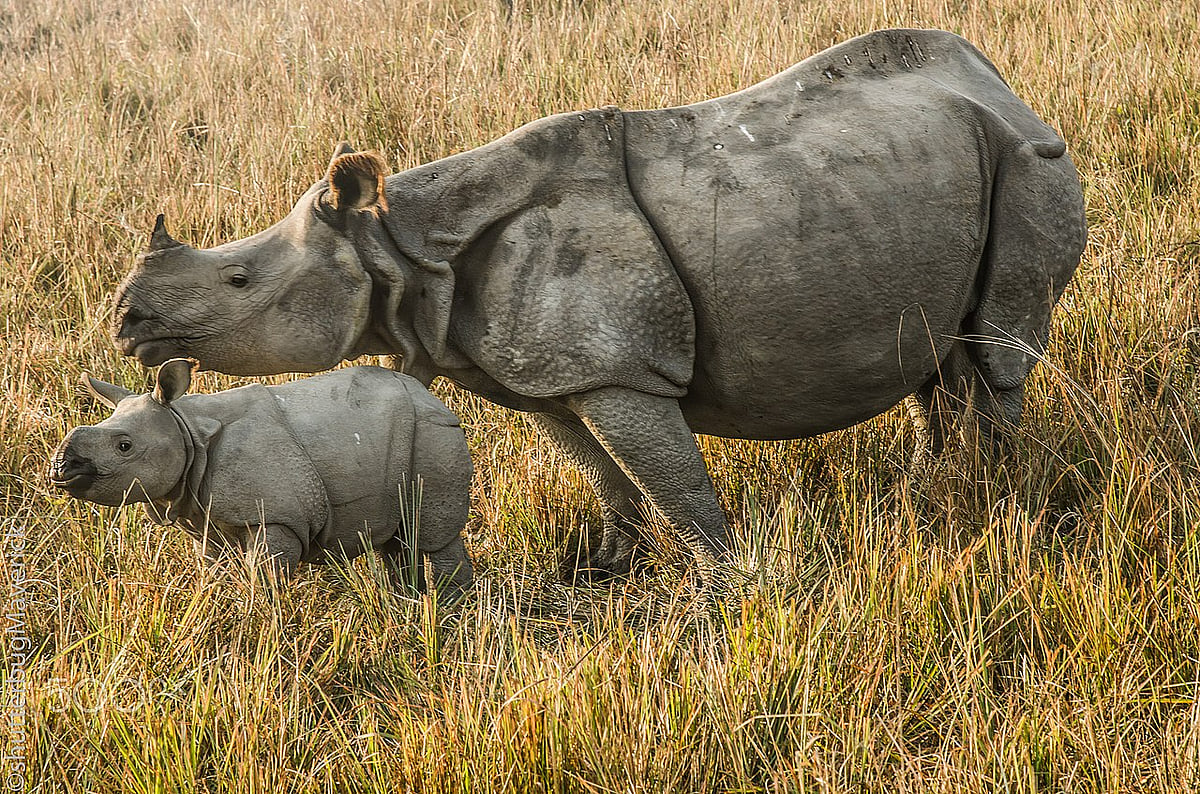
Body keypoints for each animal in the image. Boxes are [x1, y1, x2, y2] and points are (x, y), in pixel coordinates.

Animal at [50, 359, 473, 591]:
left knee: (434, 536)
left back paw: (450, 609)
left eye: (124, 446)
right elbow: (216, 568)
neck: (186, 428)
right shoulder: (206, 516)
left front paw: (266, 622)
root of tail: (429, 396)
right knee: (397, 540)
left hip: (433, 434)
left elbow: (266, 578)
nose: (62, 467)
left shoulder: (275, 516)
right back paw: (407, 603)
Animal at [109, 29, 1087, 581]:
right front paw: (610, 567)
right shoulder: (549, 373)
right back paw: (940, 490)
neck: (399, 246)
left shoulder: (620, 368)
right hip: (928, 169)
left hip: (1028, 159)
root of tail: (1000, 83)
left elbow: (673, 479)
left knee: (997, 351)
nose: (126, 320)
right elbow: (602, 471)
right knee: (942, 357)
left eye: (239, 282)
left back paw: (995, 502)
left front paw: (729, 587)